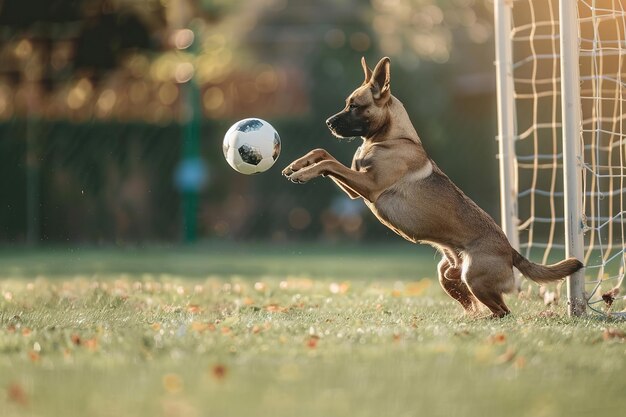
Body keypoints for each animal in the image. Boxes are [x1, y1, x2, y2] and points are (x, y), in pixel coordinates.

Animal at [280, 57, 584, 316]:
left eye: (354, 106)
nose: (328, 122)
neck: (393, 139)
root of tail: (510, 250)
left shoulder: (369, 186)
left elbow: (329, 162)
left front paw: (303, 173)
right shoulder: (355, 189)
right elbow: (323, 154)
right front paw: (297, 165)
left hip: (473, 277)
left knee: (503, 311)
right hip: (449, 276)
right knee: (476, 304)